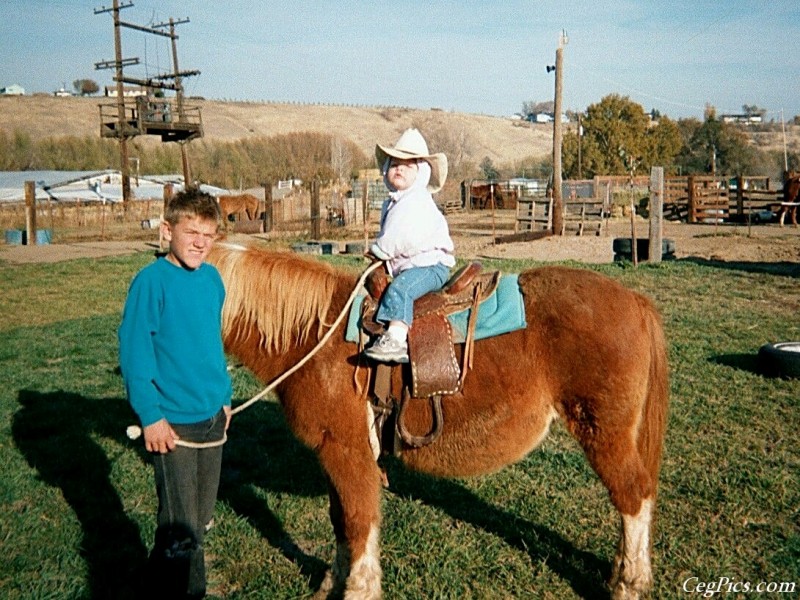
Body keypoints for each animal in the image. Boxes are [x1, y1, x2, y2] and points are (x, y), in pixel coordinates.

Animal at [206, 245, 668, 600]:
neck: (315, 336)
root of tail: (635, 301)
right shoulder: (334, 454)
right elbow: (341, 521)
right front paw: (330, 585)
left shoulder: (348, 451)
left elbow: (358, 520)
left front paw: (359, 590)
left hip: (604, 432)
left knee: (633, 495)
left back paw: (628, 585)